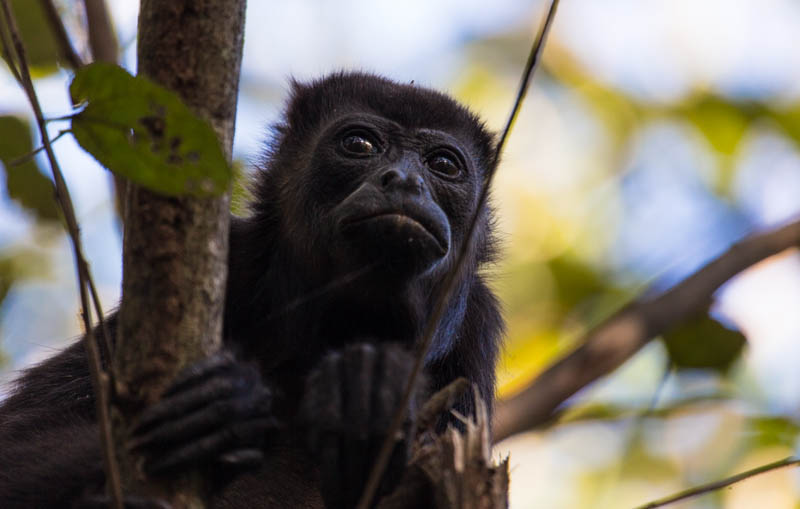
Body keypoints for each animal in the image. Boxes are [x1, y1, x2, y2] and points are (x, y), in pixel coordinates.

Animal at [0, 72, 500, 508]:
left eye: (443, 165)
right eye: (359, 144)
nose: (405, 181)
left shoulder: (476, 331)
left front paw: (370, 385)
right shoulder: (237, 261)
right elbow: (19, 443)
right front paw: (223, 408)